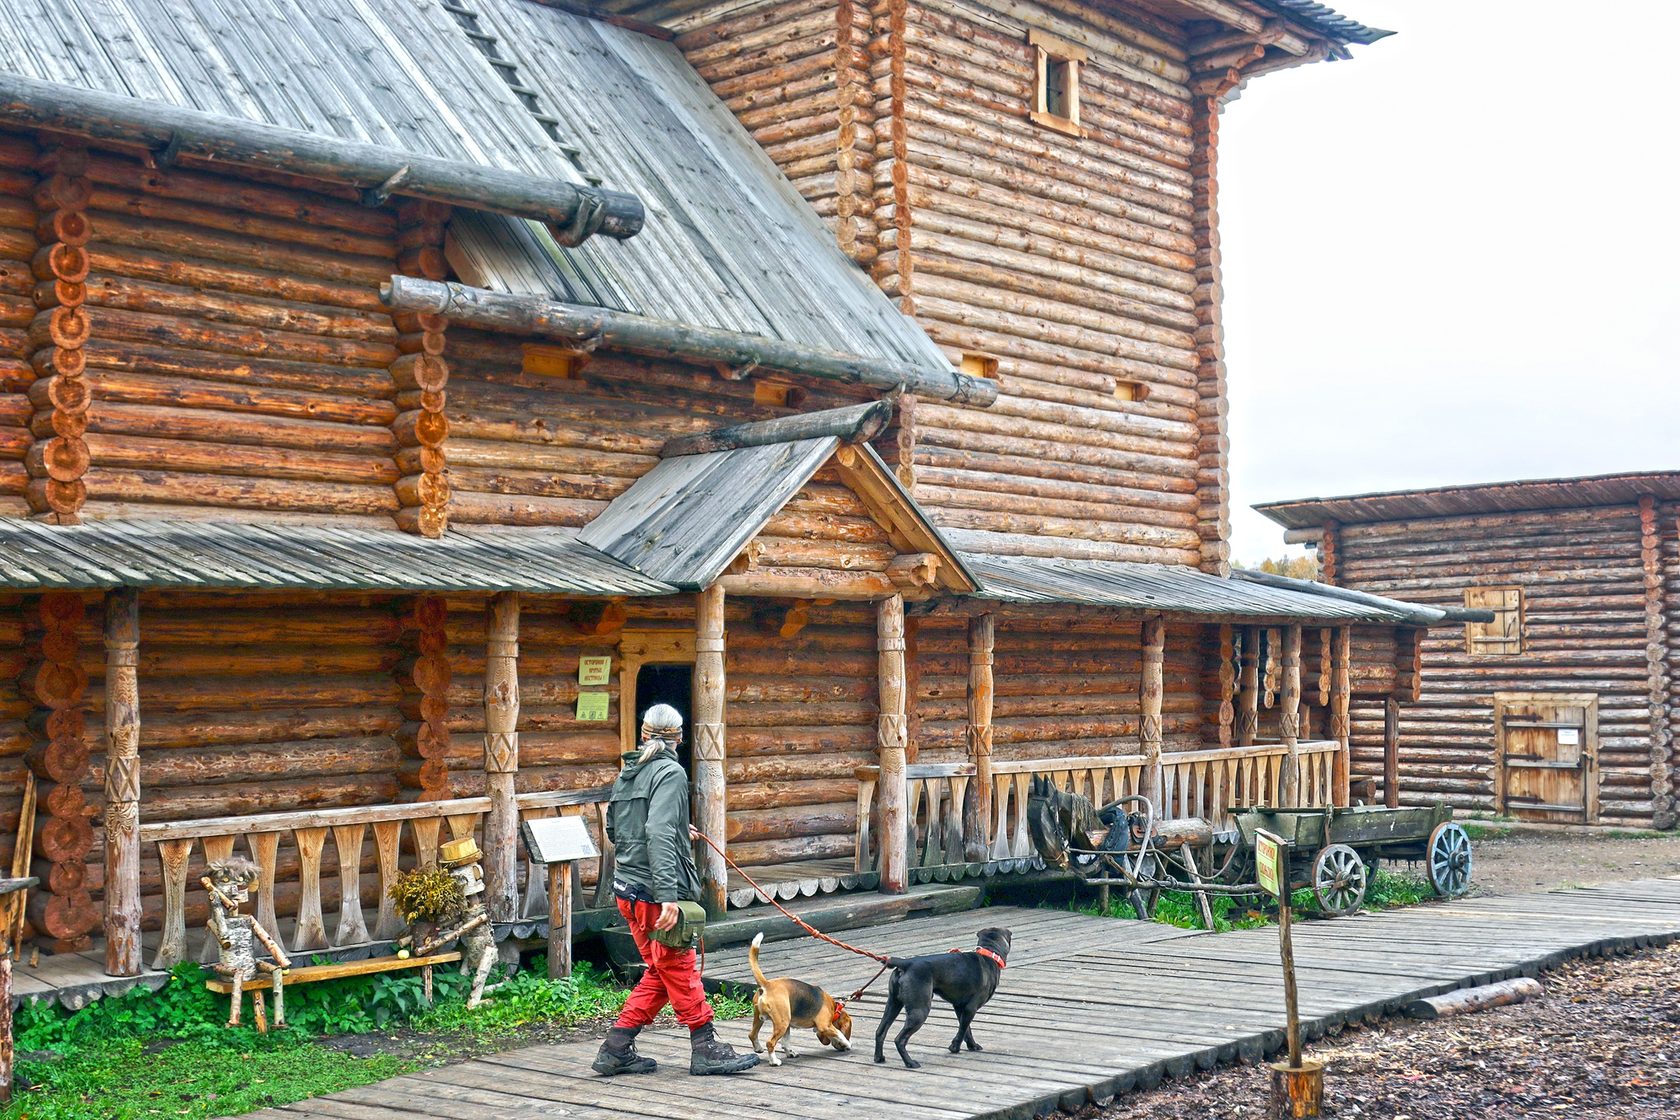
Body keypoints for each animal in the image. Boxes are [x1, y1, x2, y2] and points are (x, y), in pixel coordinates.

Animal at [749, 933, 853, 1067]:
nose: (842, 1049)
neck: (834, 1009)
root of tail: (767, 984)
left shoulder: (788, 1028)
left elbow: (786, 1042)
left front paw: (790, 1052)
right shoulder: (825, 1026)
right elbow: (839, 1034)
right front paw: (847, 1043)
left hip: (764, 1019)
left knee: (752, 1035)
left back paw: (758, 1048)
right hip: (782, 1023)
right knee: (770, 1043)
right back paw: (774, 1061)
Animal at [873, 926, 1001, 1067]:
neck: (988, 954)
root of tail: (906, 963)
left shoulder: (960, 1007)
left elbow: (966, 1030)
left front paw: (971, 1046)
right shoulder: (970, 1008)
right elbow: (962, 1030)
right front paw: (955, 1047)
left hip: (893, 1004)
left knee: (880, 1032)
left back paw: (879, 1058)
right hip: (920, 1010)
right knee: (899, 1039)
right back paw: (910, 1063)